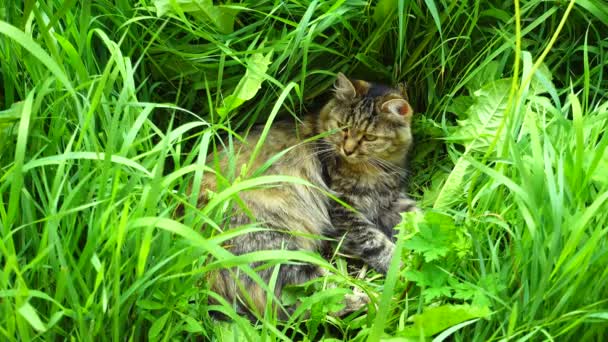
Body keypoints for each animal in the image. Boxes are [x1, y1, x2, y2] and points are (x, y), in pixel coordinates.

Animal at [192, 73, 416, 320]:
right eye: (342, 127)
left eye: (369, 137)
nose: (347, 149)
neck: (376, 169)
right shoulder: (344, 210)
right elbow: (377, 243)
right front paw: (401, 266)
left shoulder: (391, 200)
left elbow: (419, 219)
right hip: (282, 251)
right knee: (311, 305)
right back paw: (372, 300)